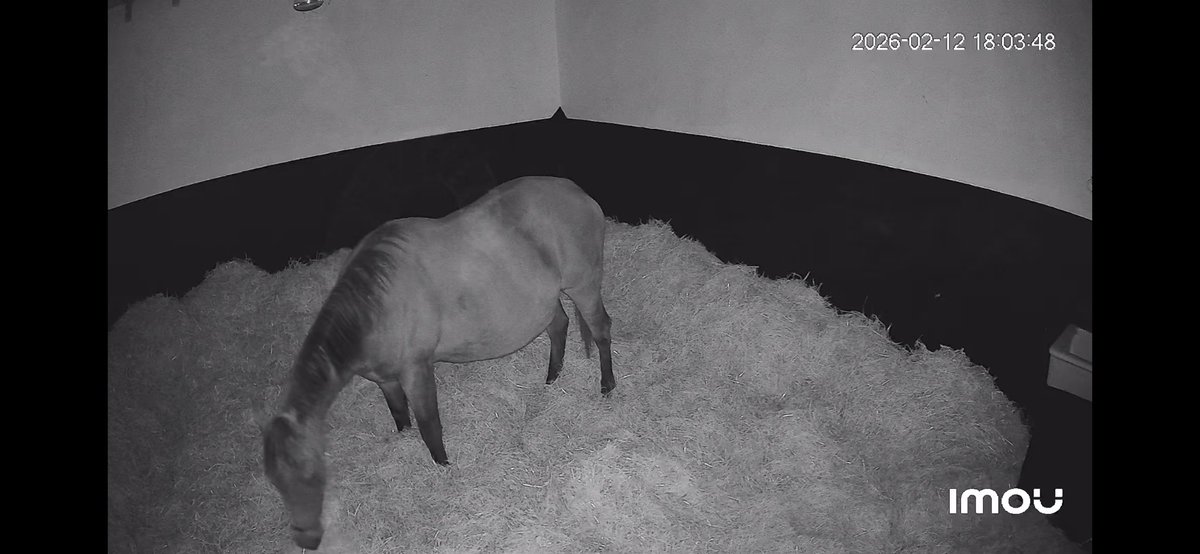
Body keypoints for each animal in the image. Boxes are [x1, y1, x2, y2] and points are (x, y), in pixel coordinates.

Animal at [262, 176, 614, 550]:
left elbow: (429, 423)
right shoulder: (385, 378)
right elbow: (400, 416)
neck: (376, 304)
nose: (308, 539)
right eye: (275, 481)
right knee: (559, 326)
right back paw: (552, 378)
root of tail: (579, 193)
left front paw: (444, 466)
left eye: (312, 472)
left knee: (601, 330)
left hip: (584, 286)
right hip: (544, 304)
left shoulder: (416, 369)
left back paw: (607, 386)